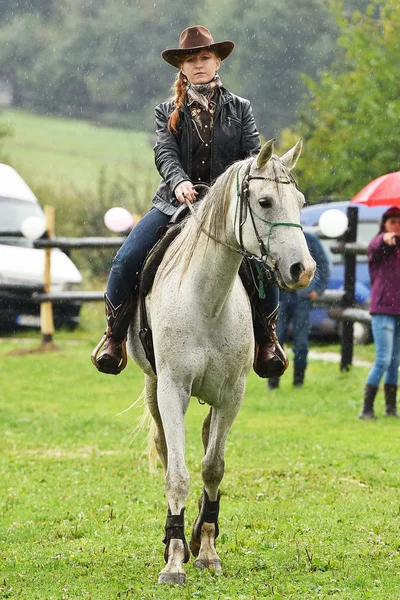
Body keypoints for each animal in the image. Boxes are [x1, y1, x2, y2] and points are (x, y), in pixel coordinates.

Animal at [128, 139, 316, 580]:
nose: (303, 270)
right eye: (264, 201)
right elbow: (177, 473)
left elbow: (213, 467)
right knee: (166, 450)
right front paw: (175, 558)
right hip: (153, 387)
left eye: (300, 202)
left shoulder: (232, 394)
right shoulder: (173, 389)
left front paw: (207, 549)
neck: (205, 299)